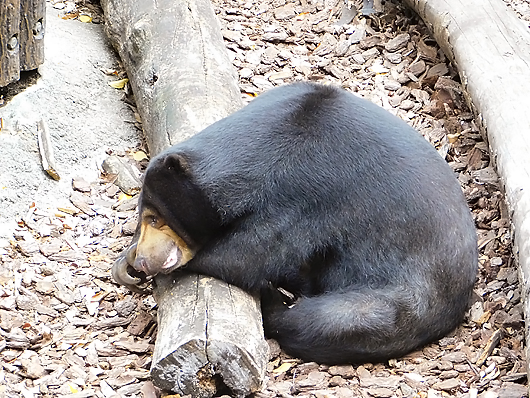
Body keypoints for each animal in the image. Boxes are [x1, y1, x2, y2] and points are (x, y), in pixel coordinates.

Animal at [111, 82, 474, 366]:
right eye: (144, 218)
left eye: (155, 218)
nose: (145, 260)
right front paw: (125, 264)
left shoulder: (304, 193)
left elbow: (251, 254)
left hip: (412, 294)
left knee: (338, 320)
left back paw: (275, 302)